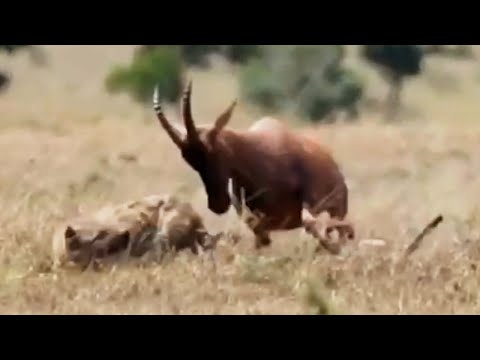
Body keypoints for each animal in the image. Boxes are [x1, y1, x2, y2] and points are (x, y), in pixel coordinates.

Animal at [152, 83, 354, 255]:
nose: (217, 205)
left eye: (213, 150)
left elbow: (312, 223)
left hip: (337, 210)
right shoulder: (256, 222)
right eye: (189, 160)